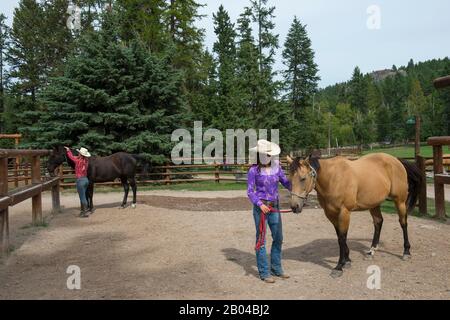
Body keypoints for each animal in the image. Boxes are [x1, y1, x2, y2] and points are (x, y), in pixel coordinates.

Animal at [288, 152, 422, 278]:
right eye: (289, 179)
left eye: (303, 178)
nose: (295, 207)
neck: (333, 178)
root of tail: (396, 160)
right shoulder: (330, 214)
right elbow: (339, 237)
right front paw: (347, 260)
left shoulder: (344, 212)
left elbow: (342, 238)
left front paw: (339, 266)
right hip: (374, 203)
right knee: (378, 222)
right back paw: (371, 251)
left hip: (399, 201)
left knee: (403, 223)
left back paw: (406, 252)